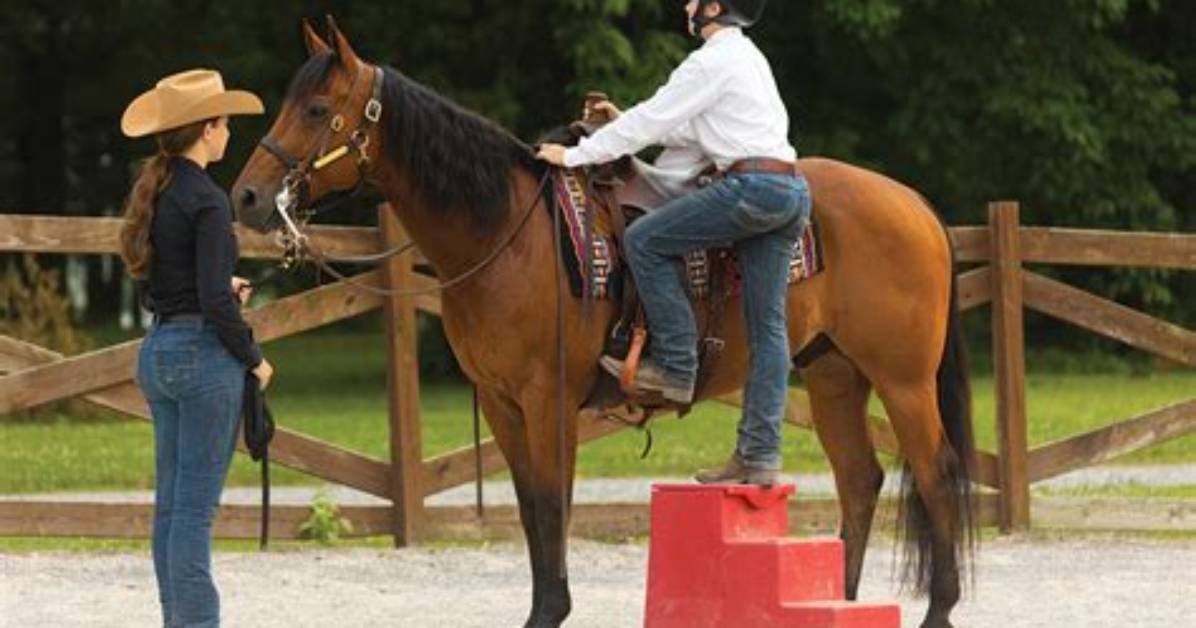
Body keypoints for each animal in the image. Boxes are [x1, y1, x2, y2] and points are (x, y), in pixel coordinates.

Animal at [232, 19, 976, 628]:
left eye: (318, 109)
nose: (247, 195)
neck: (508, 232)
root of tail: (916, 203)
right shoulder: (500, 402)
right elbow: (529, 505)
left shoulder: (548, 397)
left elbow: (552, 502)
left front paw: (550, 611)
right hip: (833, 376)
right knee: (860, 480)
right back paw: (841, 602)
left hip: (903, 380)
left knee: (936, 473)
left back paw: (939, 609)